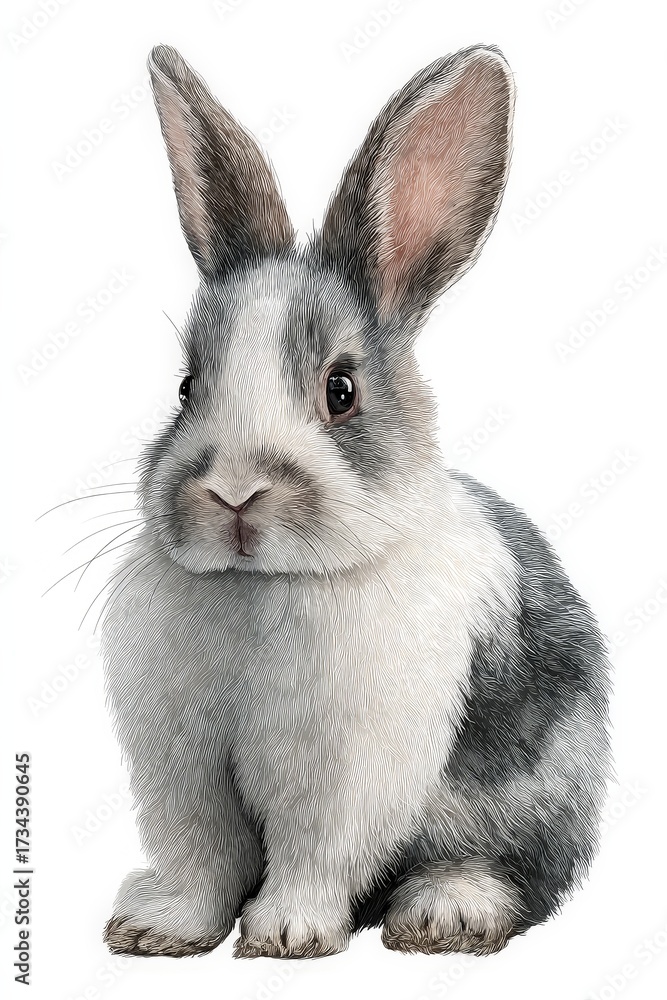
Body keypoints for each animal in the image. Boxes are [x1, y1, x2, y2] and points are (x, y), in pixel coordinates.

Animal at [101, 43, 611, 960]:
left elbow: (313, 854)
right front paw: (157, 930)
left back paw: (445, 913)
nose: (233, 494)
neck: (264, 586)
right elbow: (202, 857)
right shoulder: (184, 771)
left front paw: (285, 936)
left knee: (520, 873)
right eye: (187, 388)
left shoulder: (346, 776)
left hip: (538, 793)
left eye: (341, 391)